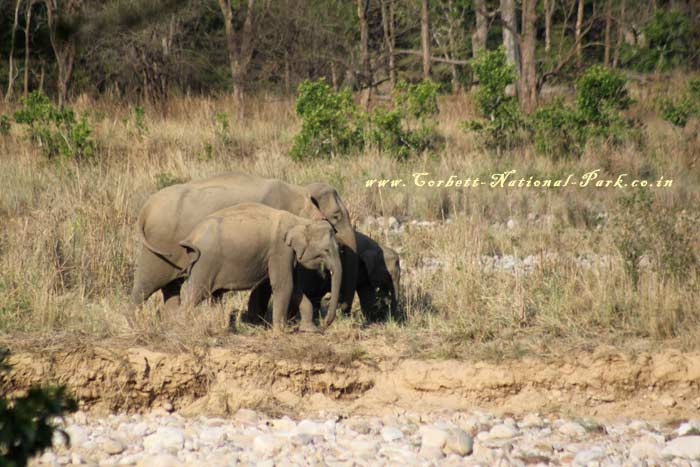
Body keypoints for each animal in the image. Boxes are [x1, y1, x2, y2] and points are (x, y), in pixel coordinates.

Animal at [178, 202, 342, 332]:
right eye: (326, 250)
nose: (325, 324)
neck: (300, 221)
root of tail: (192, 236)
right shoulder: (280, 250)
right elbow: (284, 285)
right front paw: (280, 332)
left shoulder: (288, 255)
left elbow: (295, 287)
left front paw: (310, 330)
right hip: (204, 263)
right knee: (194, 294)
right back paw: (182, 325)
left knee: (215, 296)